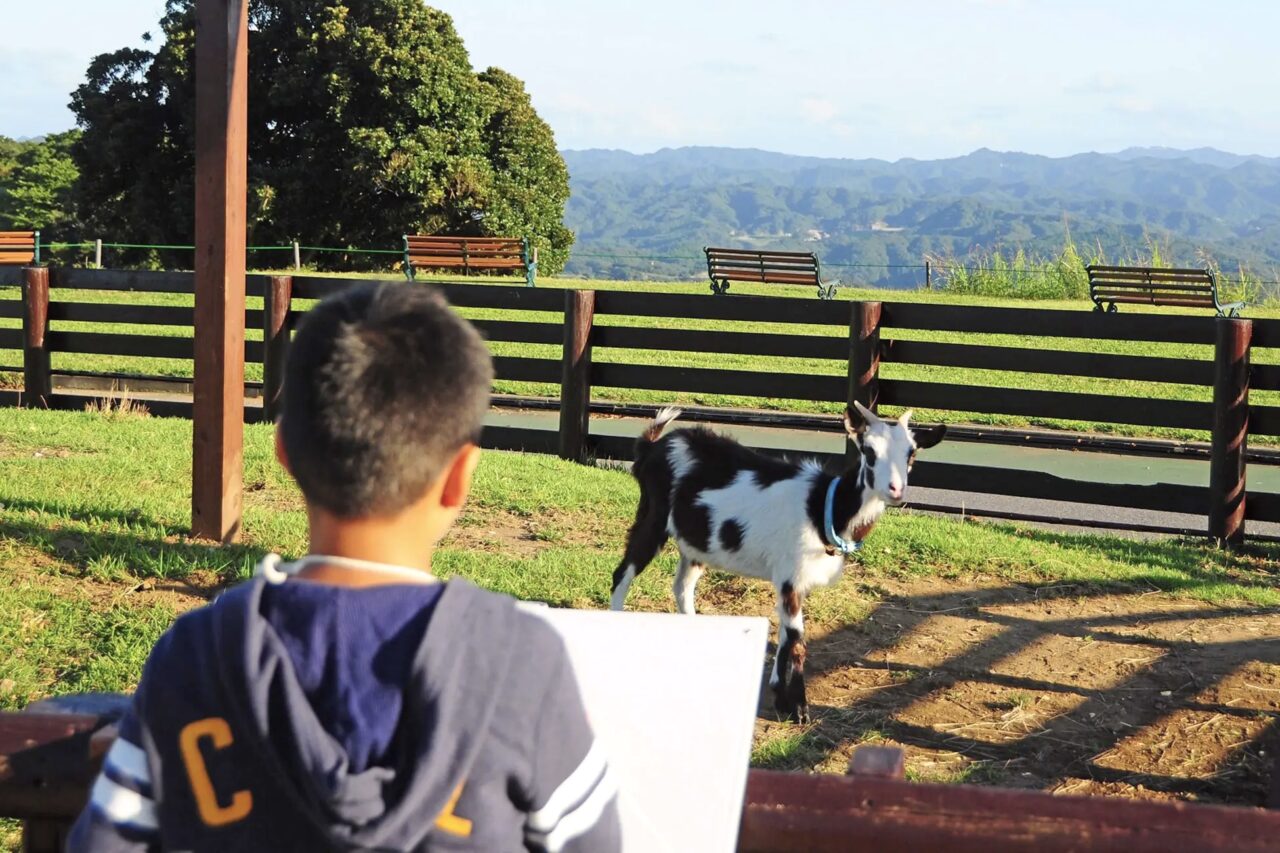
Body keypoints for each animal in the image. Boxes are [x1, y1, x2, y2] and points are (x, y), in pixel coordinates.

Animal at [604, 402, 947, 722]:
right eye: (868, 451)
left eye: (912, 453)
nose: (896, 490)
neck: (822, 506)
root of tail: (652, 446)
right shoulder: (790, 574)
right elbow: (796, 638)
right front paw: (798, 708)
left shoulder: (796, 579)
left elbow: (784, 635)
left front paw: (780, 692)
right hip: (653, 515)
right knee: (623, 573)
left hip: (697, 540)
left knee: (682, 587)